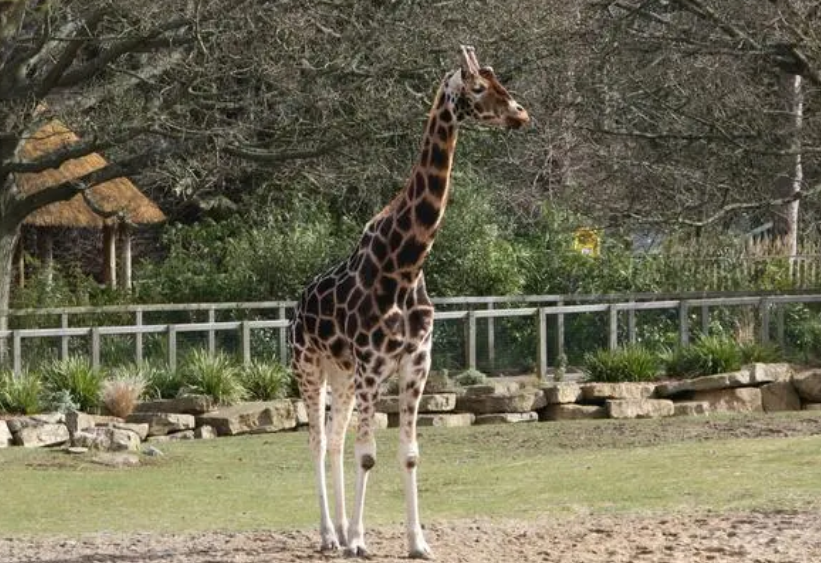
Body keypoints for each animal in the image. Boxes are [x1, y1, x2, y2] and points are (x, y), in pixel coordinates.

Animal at [292, 45, 528, 560]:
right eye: (477, 87)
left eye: (500, 81)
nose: (521, 113)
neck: (405, 265)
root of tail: (298, 305)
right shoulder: (372, 364)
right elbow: (368, 455)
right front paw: (361, 540)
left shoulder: (416, 362)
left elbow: (409, 454)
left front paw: (416, 541)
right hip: (309, 368)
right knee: (317, 443)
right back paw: (330, 535)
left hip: (343, 376)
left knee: (334, 440)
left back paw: (341, 531)